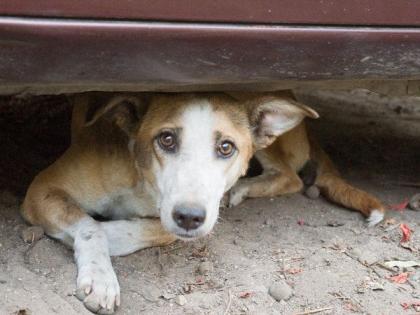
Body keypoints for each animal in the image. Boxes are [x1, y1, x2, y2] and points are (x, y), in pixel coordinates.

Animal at [20, 91, 384, 314]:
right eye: (166, 139)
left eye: (226, 147)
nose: (189, 217)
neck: (143, 182)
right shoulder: (42, 189)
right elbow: (90, 225)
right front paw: (99, 276)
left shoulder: (192, 215)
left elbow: (147, 229)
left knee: (290, 177)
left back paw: (241, 189)